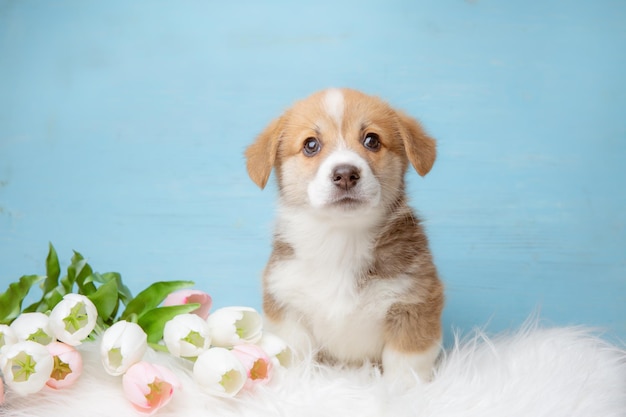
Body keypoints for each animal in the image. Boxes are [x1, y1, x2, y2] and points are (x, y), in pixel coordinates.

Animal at [244, 88, 444, 384]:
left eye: (372, 140)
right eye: (311, 145)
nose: (346, 174)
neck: (341, 239)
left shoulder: (413, 306)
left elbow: (405, 368)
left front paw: (402, 392)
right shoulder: (287, 306)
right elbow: (296, 360)